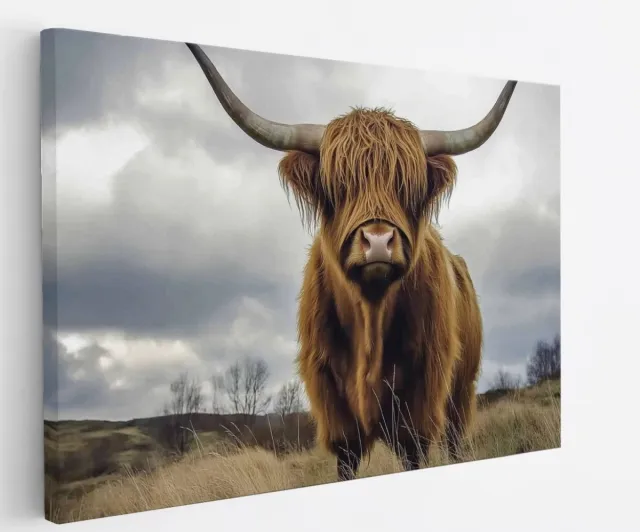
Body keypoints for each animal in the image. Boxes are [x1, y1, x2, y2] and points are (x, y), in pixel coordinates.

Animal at [186, 43, 517, 480]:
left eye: (407, 186)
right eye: (337, 186)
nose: (378, 242)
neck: (370, 319)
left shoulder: (421, 400)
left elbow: (415, 451)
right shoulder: (332, 405)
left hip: (460, 395)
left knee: (455, 441)